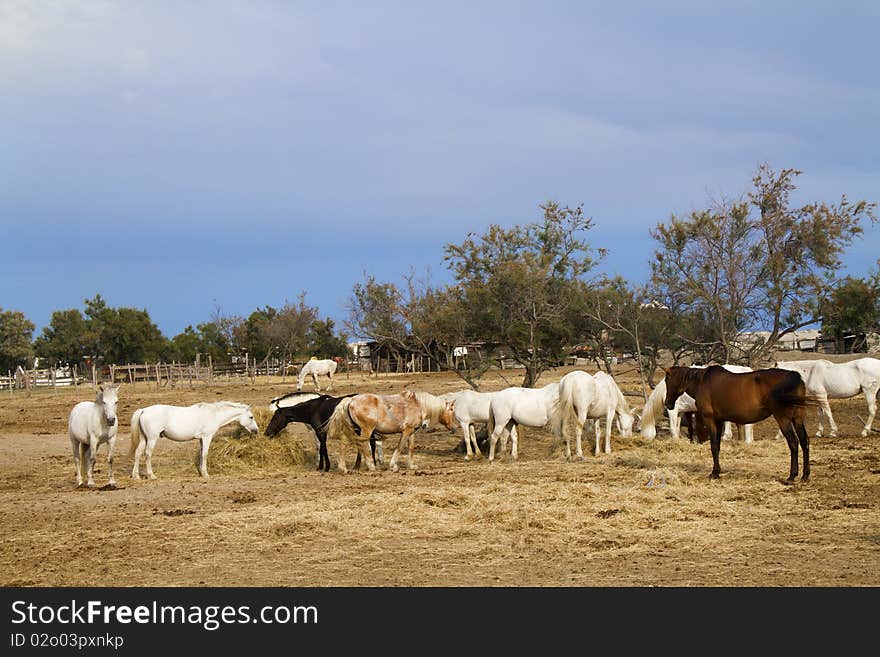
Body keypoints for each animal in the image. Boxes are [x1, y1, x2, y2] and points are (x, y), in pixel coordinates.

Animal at [128, 398, 258, 480]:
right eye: (251, 417)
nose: (256, 431)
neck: (213, 414)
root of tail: (143, 410)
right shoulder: (207, 437)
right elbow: (205, 454)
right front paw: (206, 474)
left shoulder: (201, 439)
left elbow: (201, 454)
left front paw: (201, 472)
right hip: (152, 439)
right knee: (147, 454)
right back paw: (151, 475)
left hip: (144, 439)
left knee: (138, 453)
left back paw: (136, 476)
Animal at [326, 390, 458, 472]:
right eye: (451, 410)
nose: (455, 428)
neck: (418, 405)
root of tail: (351, 400)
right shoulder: (406, 431)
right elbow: (400, 447)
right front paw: (393, 465)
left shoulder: (412, 433)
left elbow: (411, 448)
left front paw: (412, 465)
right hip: (366, 431)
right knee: (363, 445)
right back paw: (371, 466)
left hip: (353, 430)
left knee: (344, 443)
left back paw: (343, 468)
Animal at [664, 364, 816, 482]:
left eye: (667, 380)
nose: (667, 404)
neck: (702, 382)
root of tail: (795, 378)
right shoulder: (719, 421)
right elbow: (718, 446)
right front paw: (717, 471)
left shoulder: (711, 420)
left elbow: (714, 447)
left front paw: (714, 473)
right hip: (798, 418)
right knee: (804, 441)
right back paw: (805, 476)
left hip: (783, 419)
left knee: (793, 443)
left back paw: (792, 476)